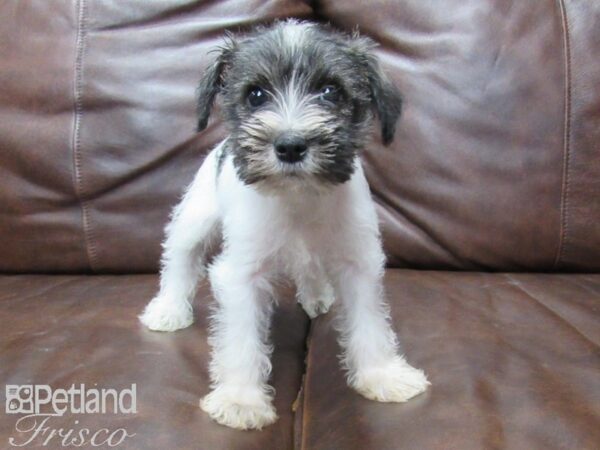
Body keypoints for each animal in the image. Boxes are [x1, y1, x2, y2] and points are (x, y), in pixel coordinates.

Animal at [141, 19, 428, 430]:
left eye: (330, 91)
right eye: (256, 95)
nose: (290, 145)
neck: (299, 198)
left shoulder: (358, 263)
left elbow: (370, 323)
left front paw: (382, 374)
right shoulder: (241, 274)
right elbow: (241, 339)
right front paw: (241, 399)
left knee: (309, 269)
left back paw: (316, 295)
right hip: (195, 218)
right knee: (179, 259)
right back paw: (169, 309)